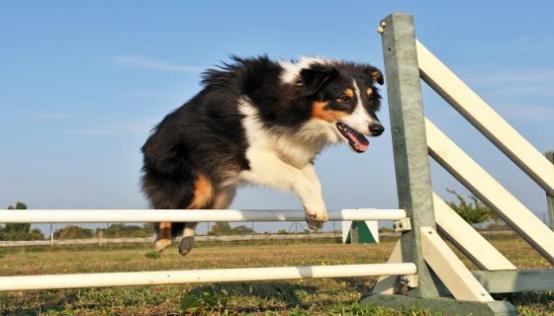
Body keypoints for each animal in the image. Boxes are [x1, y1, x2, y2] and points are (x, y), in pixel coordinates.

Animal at [141, 56, 384, 254]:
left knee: (194, 214)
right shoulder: (251, 156)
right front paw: (316, 211)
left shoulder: (294, 151)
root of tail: (148, 143)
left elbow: (312, 180)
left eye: (370, 98)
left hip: (222, 194)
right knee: (168, 208)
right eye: (343, 98)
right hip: (193, 183)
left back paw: (186, 241)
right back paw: (161, 241)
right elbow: (297, 177)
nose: (378, 129)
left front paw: (314, 213)